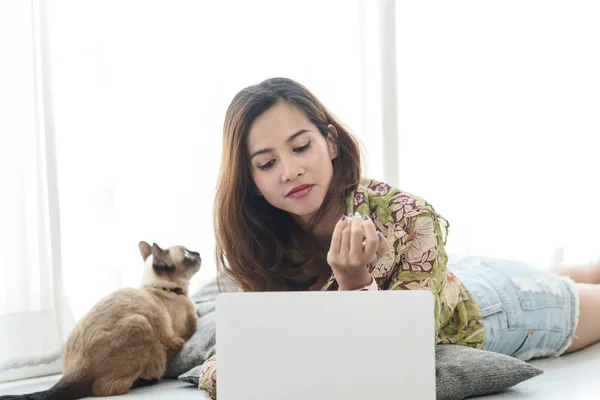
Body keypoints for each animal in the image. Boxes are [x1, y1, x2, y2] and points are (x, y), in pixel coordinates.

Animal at [0, 242, 202, 398]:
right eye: (187, 252)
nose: (198, 252)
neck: (160, 288)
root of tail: (72, 372)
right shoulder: (185, 331)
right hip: (140, 324)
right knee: (107, 389)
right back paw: (148, 381)